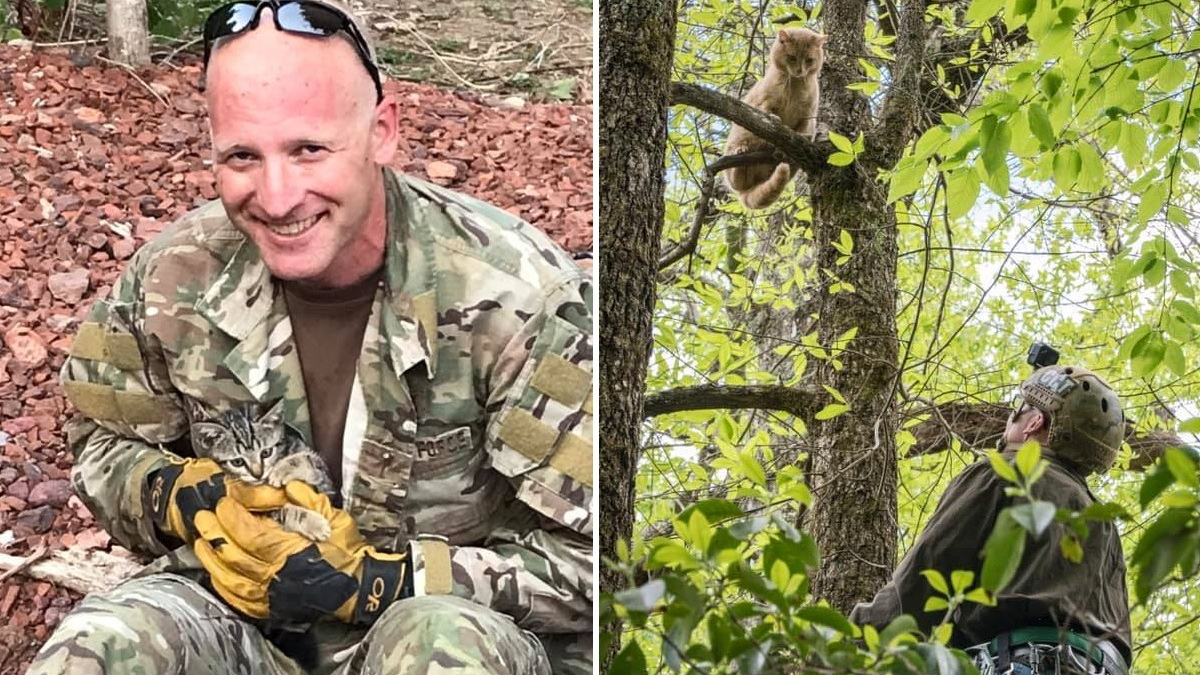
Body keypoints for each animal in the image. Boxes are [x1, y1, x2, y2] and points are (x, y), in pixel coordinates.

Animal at [189, 396, 336, 538]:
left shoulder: (328, 487)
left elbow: (309, 460)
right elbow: (281, 511)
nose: (257, 474)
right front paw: (315, 524)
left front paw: (280, 470)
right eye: (237, 462)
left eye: (266, 453)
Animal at [720, 27, 825, 208]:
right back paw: (741, 151)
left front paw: (801, 137)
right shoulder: (763, 104)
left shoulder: (808, 115)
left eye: (809, 60)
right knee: (735, 179)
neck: (795, 86)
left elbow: (801, 131)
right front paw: (775, 120)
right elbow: (768, 116)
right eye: (792, 57)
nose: (800, 71)